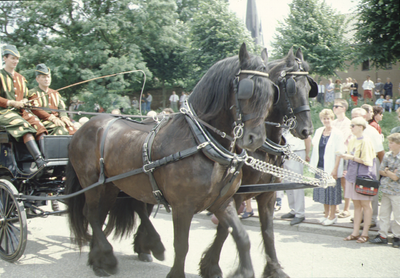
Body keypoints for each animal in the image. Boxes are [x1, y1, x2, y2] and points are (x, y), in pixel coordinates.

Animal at [65, 42, 278, 276]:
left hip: (112, 185)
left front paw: (243, 270)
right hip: (91, 182)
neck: (200, 140)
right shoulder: (182, 206)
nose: (255, 138)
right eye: (246, 90)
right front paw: (176, 272)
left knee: (101, 213)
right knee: (92, 214)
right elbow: (182, 245)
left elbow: (242, 237)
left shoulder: (222, 202)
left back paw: (99, 259)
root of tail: (83, 127)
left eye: (271, 93)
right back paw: (108, 257)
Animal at [198, 47, 318, 278]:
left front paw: (274, 269)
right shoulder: (234, 195)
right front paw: (211, 265)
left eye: (309, 87)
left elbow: (268, 231)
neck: (263, 150)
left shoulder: (268, 194)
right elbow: (225, 230)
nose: (307, 130)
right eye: (291, 88)